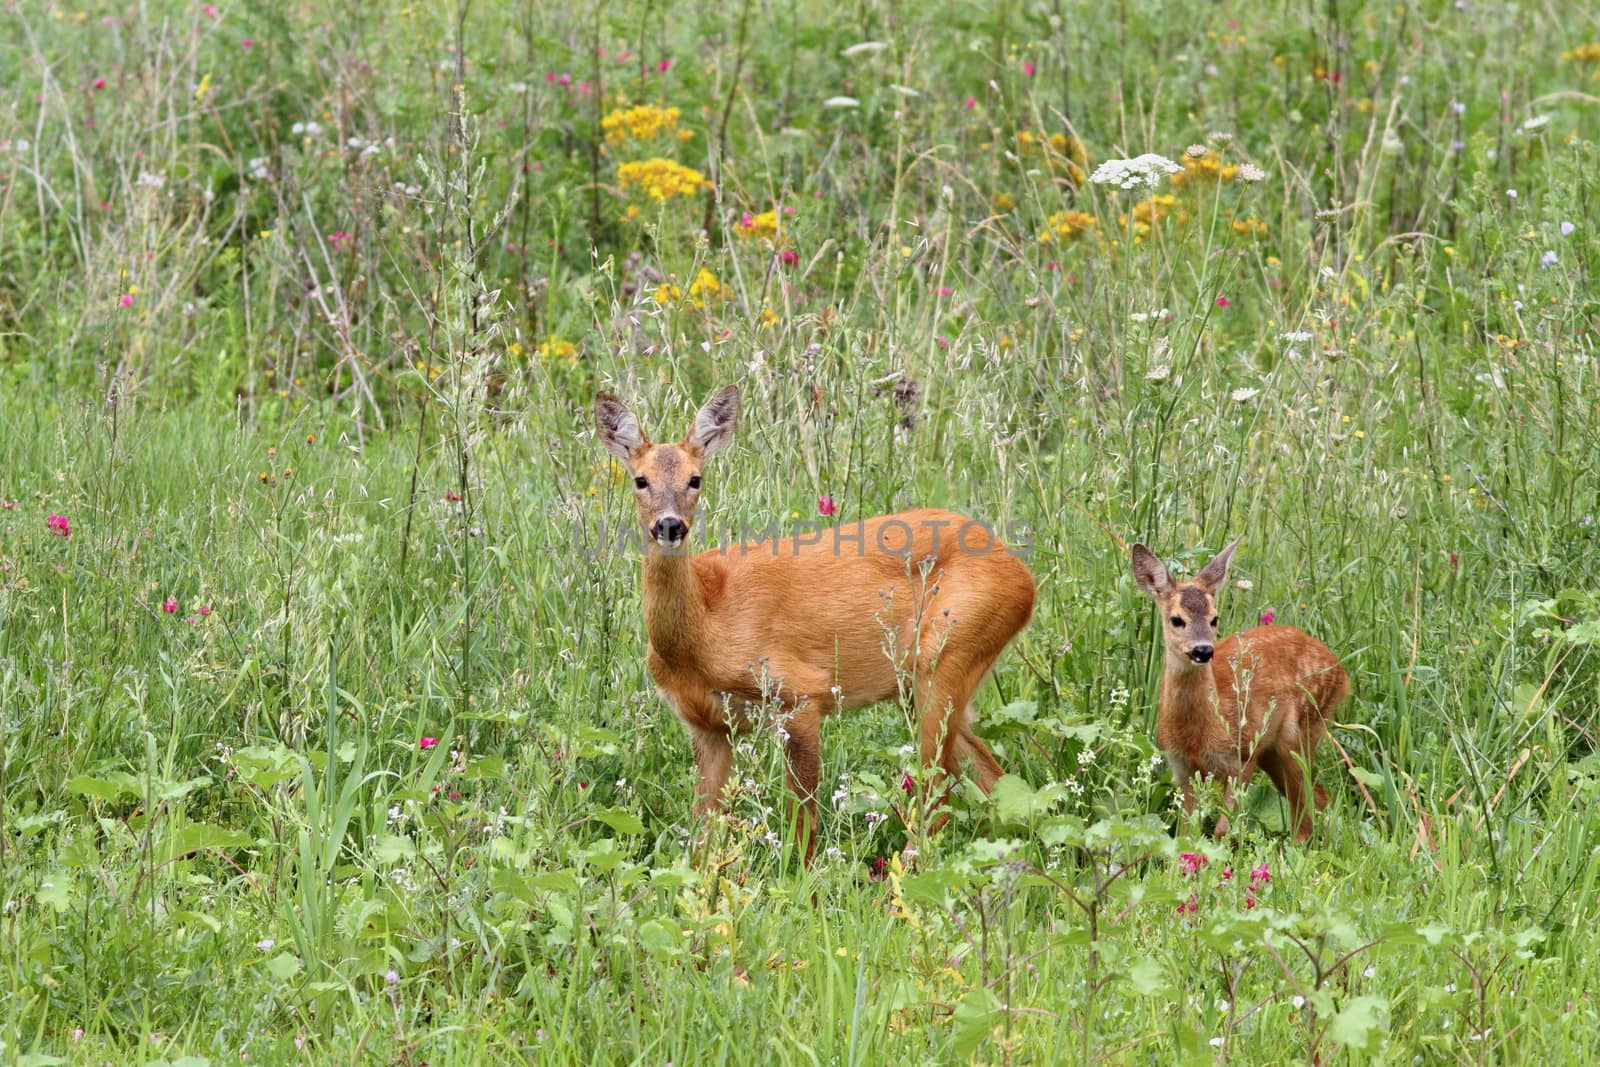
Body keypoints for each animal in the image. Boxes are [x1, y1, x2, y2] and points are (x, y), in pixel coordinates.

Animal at [592, 388, 1036, 863]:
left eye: (696, 479)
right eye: (640, 480)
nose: (670, 525)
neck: (706, 631)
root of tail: (1023, 577)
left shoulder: (800, 694)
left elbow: (802, 822)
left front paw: (801, 880)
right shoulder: (708, 728)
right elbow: (703, 836)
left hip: (947, 654)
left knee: (936, 793)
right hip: (926, 682)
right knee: (994, 781)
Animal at [1132, 543, 1344, 844]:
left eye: (1214, 618)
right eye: (1176, 620)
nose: (1203, 650)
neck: (1200, 733)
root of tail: (1342, 671)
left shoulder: (1242, 757)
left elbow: (1224, 828)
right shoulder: (1181, 766)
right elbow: (1186, 830)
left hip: (1301, 730)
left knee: (1306, 802)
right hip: (1275, 752)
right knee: (1318, 796)